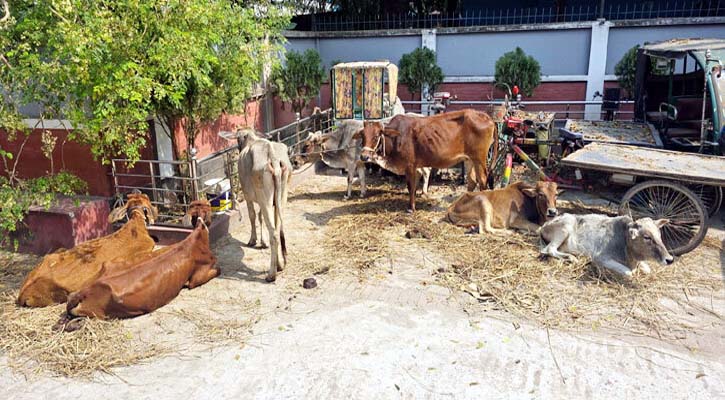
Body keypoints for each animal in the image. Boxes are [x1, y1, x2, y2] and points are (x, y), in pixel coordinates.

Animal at [219, 128, 290, 282]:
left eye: (237, 138)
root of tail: (273, 158)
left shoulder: (248, 196)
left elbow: (252, 215)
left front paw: (253, 240)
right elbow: (260, 216)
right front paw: (262, 242)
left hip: (265, 198)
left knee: (274, 234)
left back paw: (271, 274)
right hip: (280, 196)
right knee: (278, 229)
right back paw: (279, 265)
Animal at [354, 108, 498, 211]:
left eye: (376, 136)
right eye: (362, 135)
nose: (364, 156)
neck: (396, 137)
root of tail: (487, 117)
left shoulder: (409, 166)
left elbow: (411, 186)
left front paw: (411, 208)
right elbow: (414, 186)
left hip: (479, 159)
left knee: (482, 180)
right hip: (469, 159)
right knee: (472, 181)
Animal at [536, 214, 672, 276]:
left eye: (659, 235)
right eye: (647, 237)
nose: (669, 259)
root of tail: (545, 225)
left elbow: (647, 269)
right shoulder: (600, 257)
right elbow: (629, 272)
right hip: (565, 227)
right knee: (549, 249)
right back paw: (572, 258)